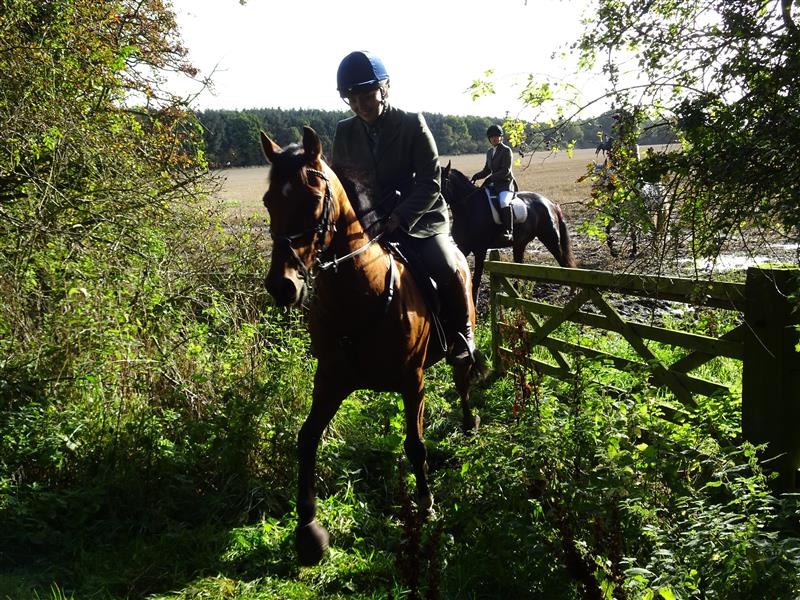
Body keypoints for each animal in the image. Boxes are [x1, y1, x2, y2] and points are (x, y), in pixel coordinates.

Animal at [260, 126, 483, 566]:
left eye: (313, 200)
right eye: (268, 201)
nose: (283, 286)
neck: (361, 293)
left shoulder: (413, 382)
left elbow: (416, 446)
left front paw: (426, 504)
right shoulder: (330, 380)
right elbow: (307, 438)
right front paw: (308, 529)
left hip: (458, 345)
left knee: (463, 381)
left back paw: (469, 425)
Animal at [440, 162, 576, 301]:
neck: (469, 207)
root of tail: (551, 204)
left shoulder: (480, 250)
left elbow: (476, 280)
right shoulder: (464, 247)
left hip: (551, 240)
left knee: (564, 262)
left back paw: (572, 292)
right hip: (520, 244)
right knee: (519, 268)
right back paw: (516, 294)